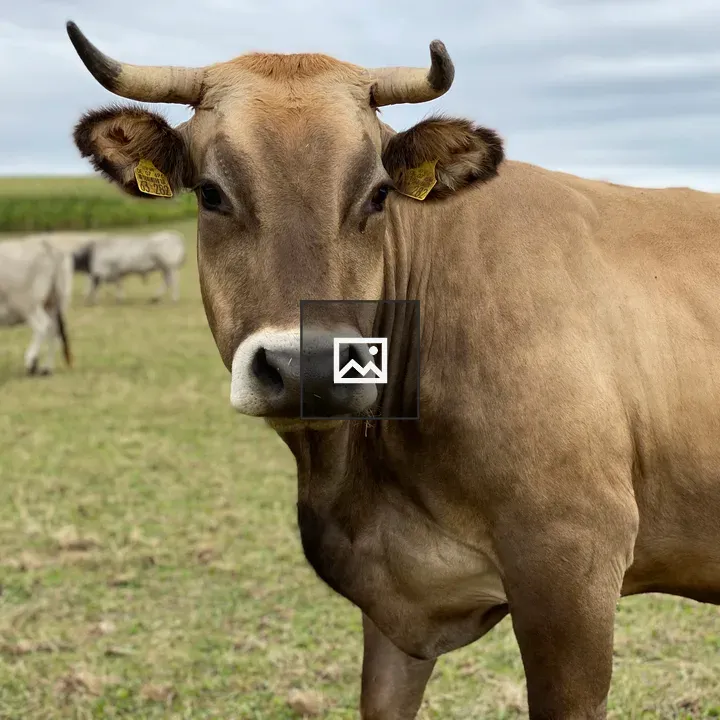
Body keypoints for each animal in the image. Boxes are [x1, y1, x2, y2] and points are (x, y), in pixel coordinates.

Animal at [0, 236, 73, 376]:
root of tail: (44, 243)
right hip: (55, 303)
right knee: (54, 330)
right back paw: (47, 368)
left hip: (29, 305)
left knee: (42, 325)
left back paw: (31, 362)